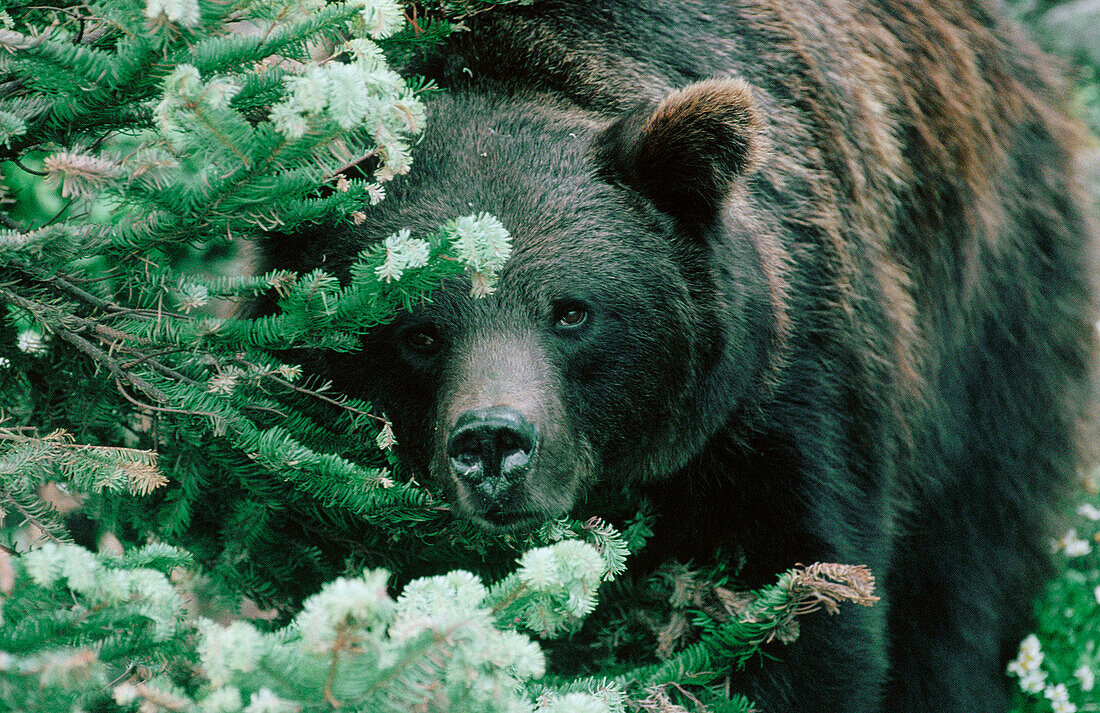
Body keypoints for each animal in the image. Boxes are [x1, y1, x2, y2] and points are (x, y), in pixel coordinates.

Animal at [261, 2, 1095, 708]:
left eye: (572, 311)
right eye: (419, 331)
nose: (494, 442)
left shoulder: (783, 398)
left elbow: (807, 602)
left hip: (990, 327)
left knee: (965, 577)